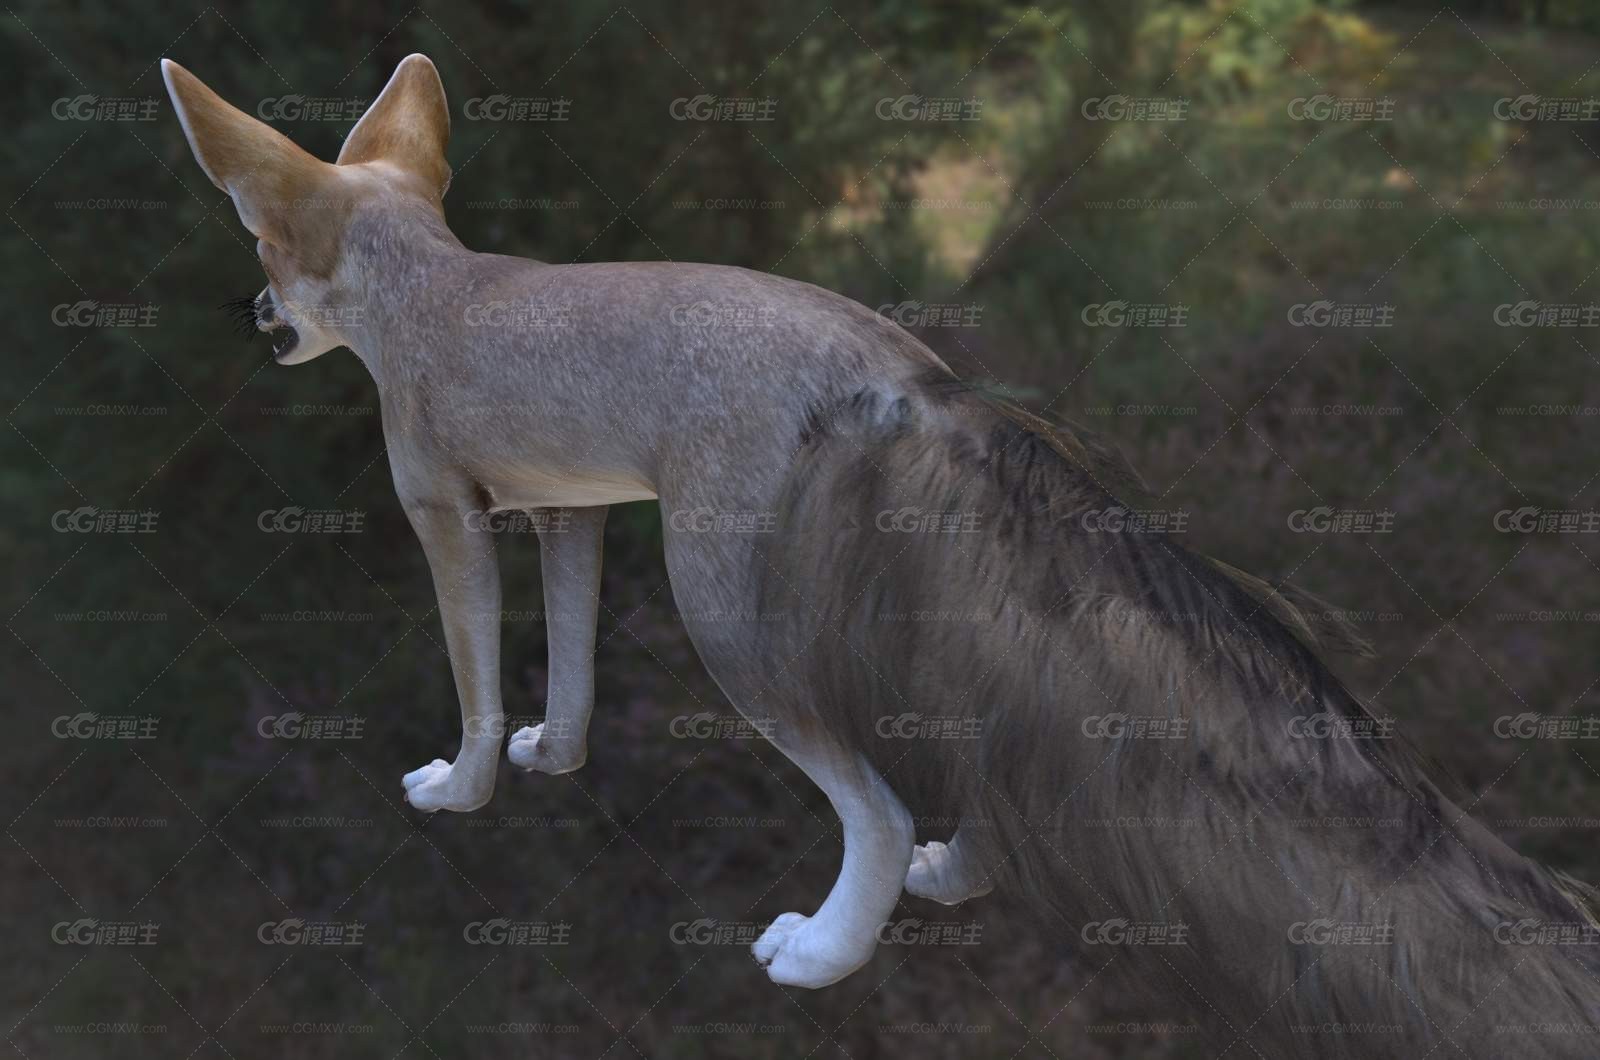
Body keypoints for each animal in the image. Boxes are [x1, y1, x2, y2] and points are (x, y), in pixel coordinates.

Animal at [165, 52, 1600, 1056]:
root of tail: (916, 371)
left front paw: (461, 790)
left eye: (260, 242)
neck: (437, 287)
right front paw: (554, 760)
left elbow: (474, 683)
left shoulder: (447, 517)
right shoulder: (571, 514)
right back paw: (958, 874)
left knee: (876, 799)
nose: (249, 312)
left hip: (726, 623)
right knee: (981, 760)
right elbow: (567, 667)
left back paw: (821, 952)